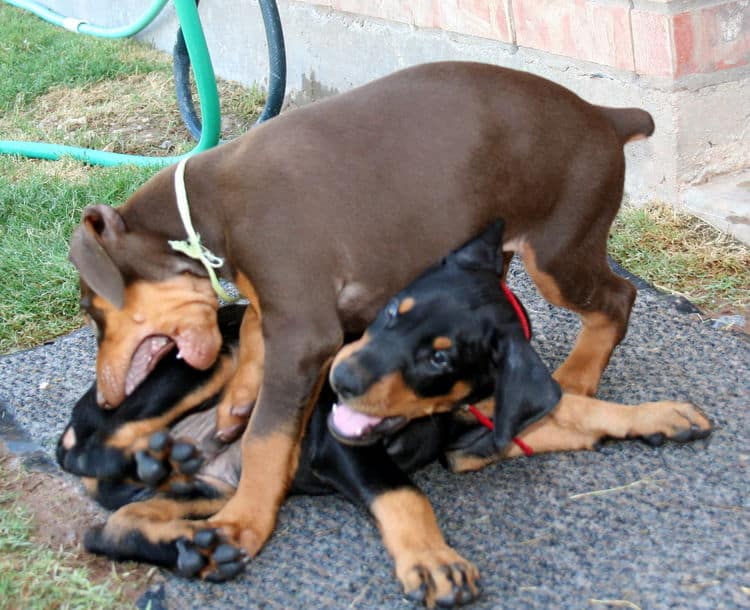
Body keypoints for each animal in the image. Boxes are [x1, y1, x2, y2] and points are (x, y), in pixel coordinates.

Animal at [57, 224, 712, 608]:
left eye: (440, 356)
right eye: (393, 311)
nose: (338, 382)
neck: (444, 411)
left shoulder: (479, 432)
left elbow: (579, 409)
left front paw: (663, 416)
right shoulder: (340, 446)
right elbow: (404, 494)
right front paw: (434, 562)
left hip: (208, 489)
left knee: (110, 527)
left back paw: (188, 534)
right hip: (209, 361)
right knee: (88, 448)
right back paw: (148, 457)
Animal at [70, 60, 656, 556]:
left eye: (90, 307)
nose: (104, 397)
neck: (203, 214)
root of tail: (604, 115)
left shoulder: (304, 329)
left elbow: (266, 438)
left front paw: (243, 522)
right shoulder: (291, 310)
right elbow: (255, 329)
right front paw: (236, 402)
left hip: (558, 252)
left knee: (616, 300)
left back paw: (577, 378)